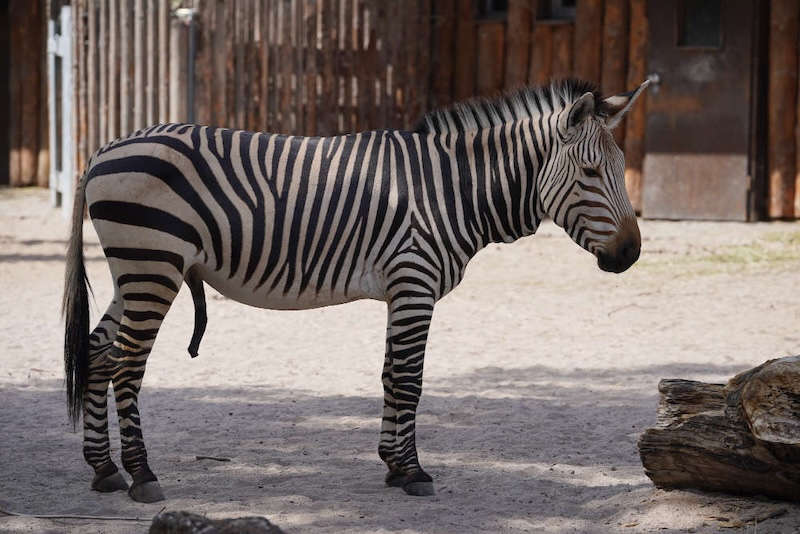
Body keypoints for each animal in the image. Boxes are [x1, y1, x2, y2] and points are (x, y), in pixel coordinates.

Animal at [64, 78, 648, 502]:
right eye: (590, 172)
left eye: (622, 169)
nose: (631, 254)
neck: (452, 191)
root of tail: (103, 149)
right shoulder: (415, 281)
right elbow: (410, 381)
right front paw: (414, 472)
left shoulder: (402, 289)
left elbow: (391, 376)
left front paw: (392, 465)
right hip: (153, 265)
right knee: (127, 366)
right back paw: (142, 476)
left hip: (136, 270)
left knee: (97, 353)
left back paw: (103, 469)